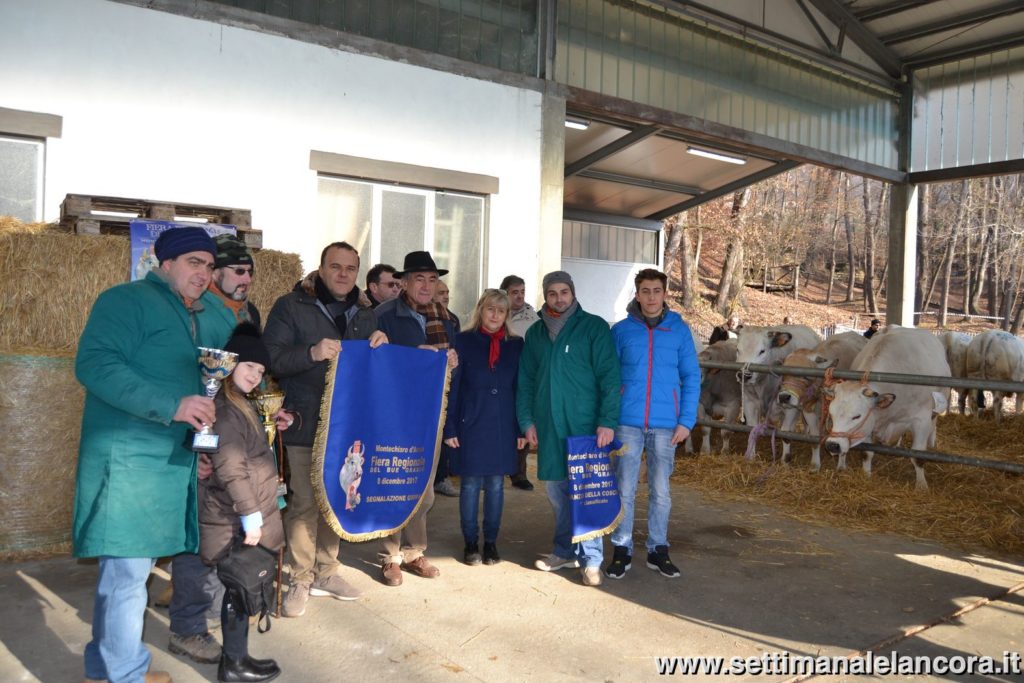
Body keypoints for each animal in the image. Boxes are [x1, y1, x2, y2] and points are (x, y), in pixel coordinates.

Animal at [737, 323, 823, 456]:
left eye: (762, 351)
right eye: (738, 350)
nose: (744, 375)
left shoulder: (791, 405)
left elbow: (785, 432)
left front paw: (785, 458)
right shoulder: (749, 402)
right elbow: (751, 428)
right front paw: (751, 456)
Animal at [774, 331, 864, 471]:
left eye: (805, 376)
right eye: (783, 375)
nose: (784, 397)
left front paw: (840, 465)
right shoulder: (806, 409)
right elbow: (812, 437)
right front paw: (813, 463)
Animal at [819, 327, 946, 491]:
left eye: (857, 416)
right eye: (831, 415)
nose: (832, 445)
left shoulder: (921, 420)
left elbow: (918, 456)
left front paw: (921, 486)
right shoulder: (870, 424)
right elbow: (867, 453)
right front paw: (866, 475)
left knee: (934, 424)